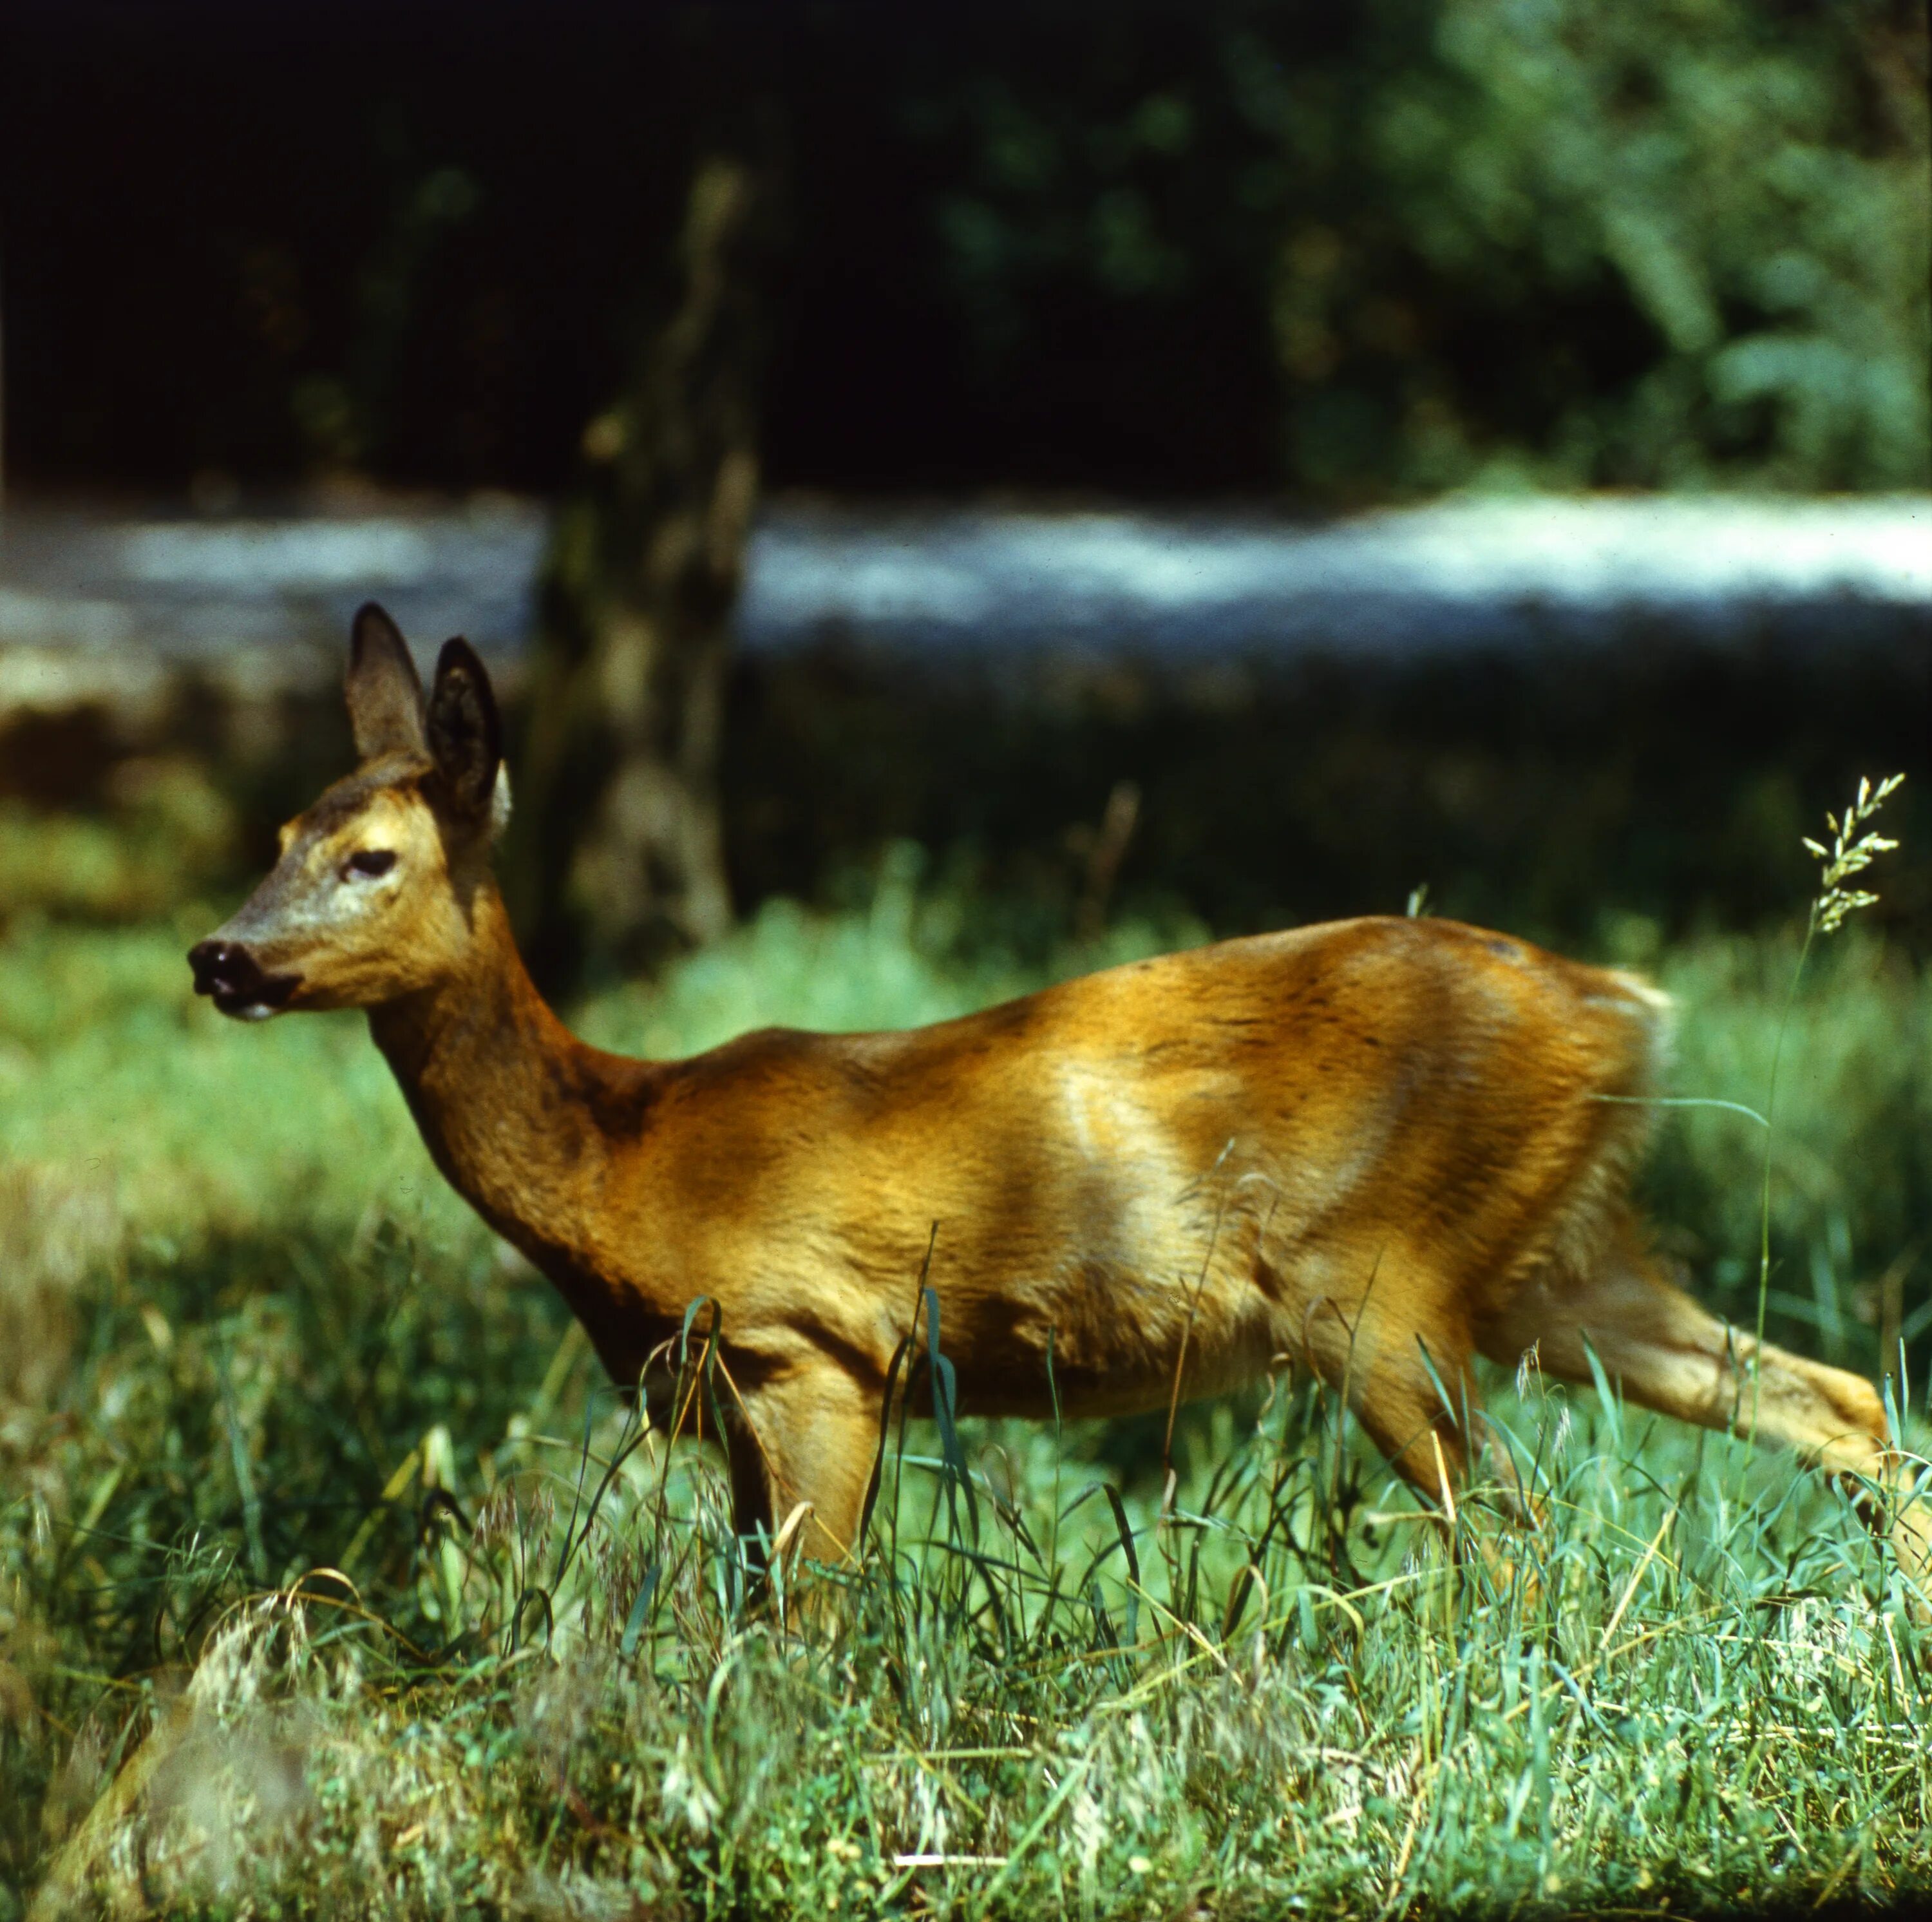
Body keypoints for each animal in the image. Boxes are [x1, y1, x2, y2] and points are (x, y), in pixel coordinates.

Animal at [188, 610, 1924, 1584]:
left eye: (372, 858)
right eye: (277, 831)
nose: (219, 953)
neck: (620, 1157)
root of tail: (1624, 1012)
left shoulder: (813, 1348)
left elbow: (805, 1626)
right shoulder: (740, 1396)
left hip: (1382, 1277)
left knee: (1513, 1534)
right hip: (1547, 1260)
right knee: (1832, 1399)